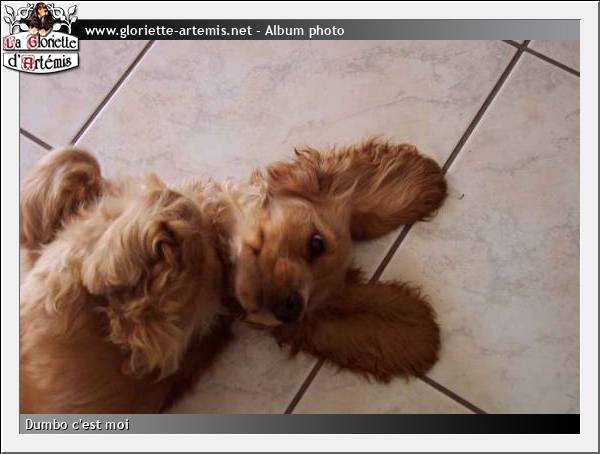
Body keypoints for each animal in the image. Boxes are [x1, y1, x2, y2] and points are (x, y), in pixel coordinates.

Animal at [19, 139, 447, 413]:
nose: (291, 308)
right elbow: (74, 156)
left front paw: (104, 262)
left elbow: (176, 203)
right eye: (316, 243)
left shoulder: (155, 340)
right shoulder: (40, 252)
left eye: (311, 309)